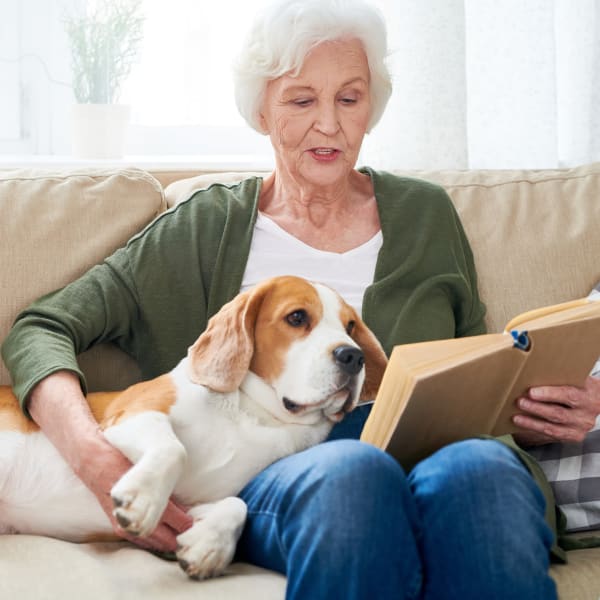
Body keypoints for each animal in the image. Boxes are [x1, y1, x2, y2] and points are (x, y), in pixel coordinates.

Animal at [0, 276, 384, 580]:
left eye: (350, 326)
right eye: (297, 317)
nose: (353, 356)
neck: (252, 414)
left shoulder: (188, 507)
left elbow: (236, 506)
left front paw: (209, 546)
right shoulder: (129, 416)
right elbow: (173, 448)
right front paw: (142, 499)